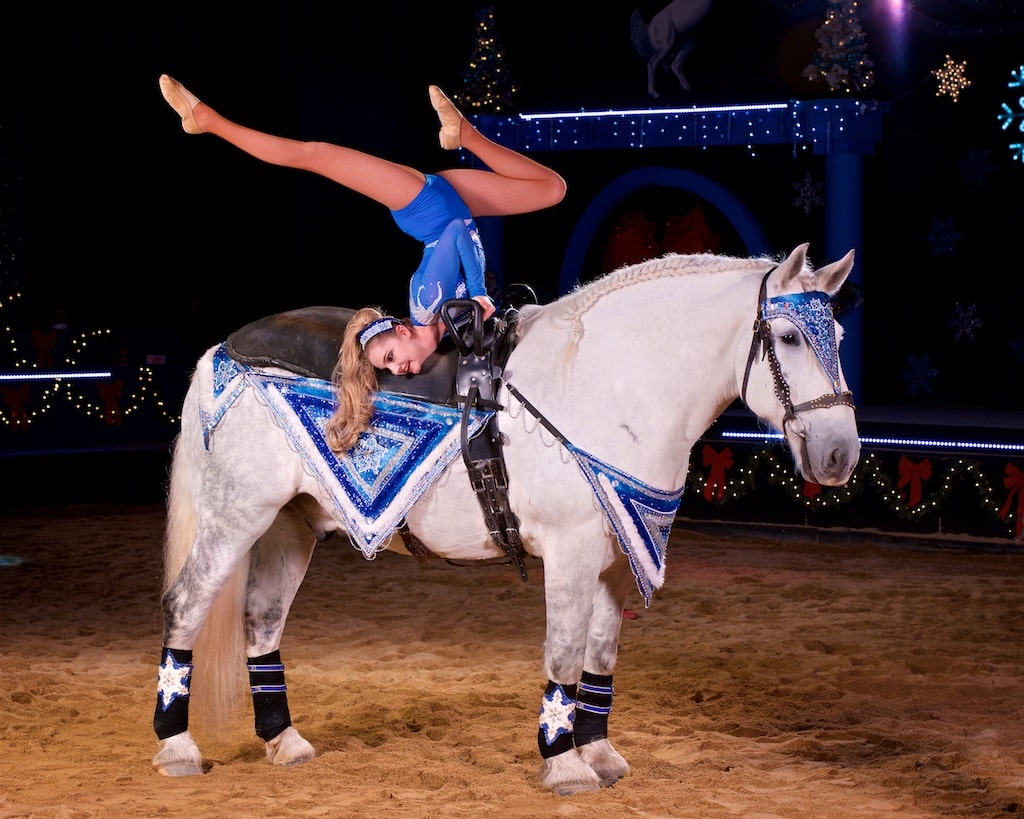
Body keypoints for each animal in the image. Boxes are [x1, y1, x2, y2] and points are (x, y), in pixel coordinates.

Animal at [150, 243, 860, 795]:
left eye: (839, 339)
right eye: (789, 338)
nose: (840, 454)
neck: (606, 384)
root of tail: (223, 349)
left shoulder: (615, 558)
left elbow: (599, 654)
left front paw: (598, 753)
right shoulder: (572, 553)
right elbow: (564, 652)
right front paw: (563, 763)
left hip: (290, 525)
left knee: (261, 620)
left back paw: (284, 741)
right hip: (236, 515)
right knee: (187, 603)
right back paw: (177, 747)